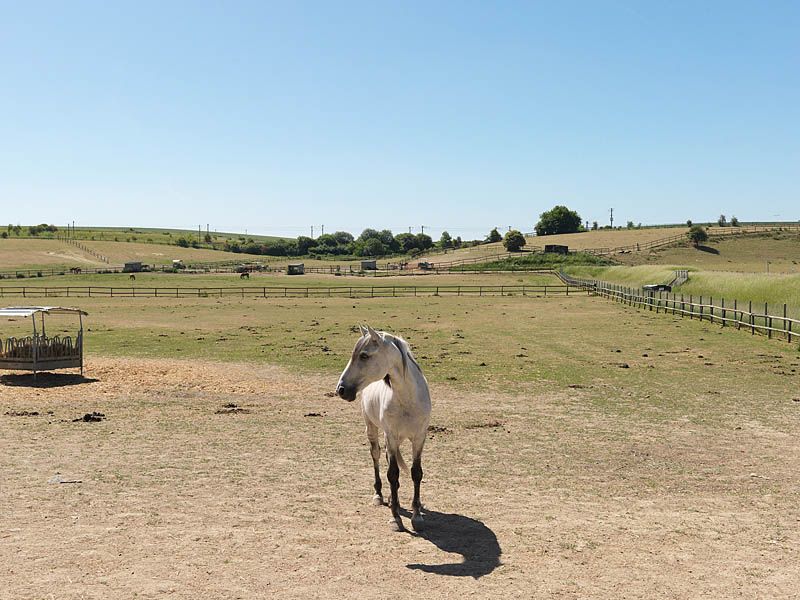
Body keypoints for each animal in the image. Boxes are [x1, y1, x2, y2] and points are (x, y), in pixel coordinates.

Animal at [334, 326, 432, 532]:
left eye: (364, 356)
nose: (341, 390)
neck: (408, 399)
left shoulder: (419, 437)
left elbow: (416, 472)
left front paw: (417, 514)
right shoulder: (391, 436)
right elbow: (392, 474)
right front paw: (395, 518)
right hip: (373, 430)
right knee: (377, 456)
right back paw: (379, 495)